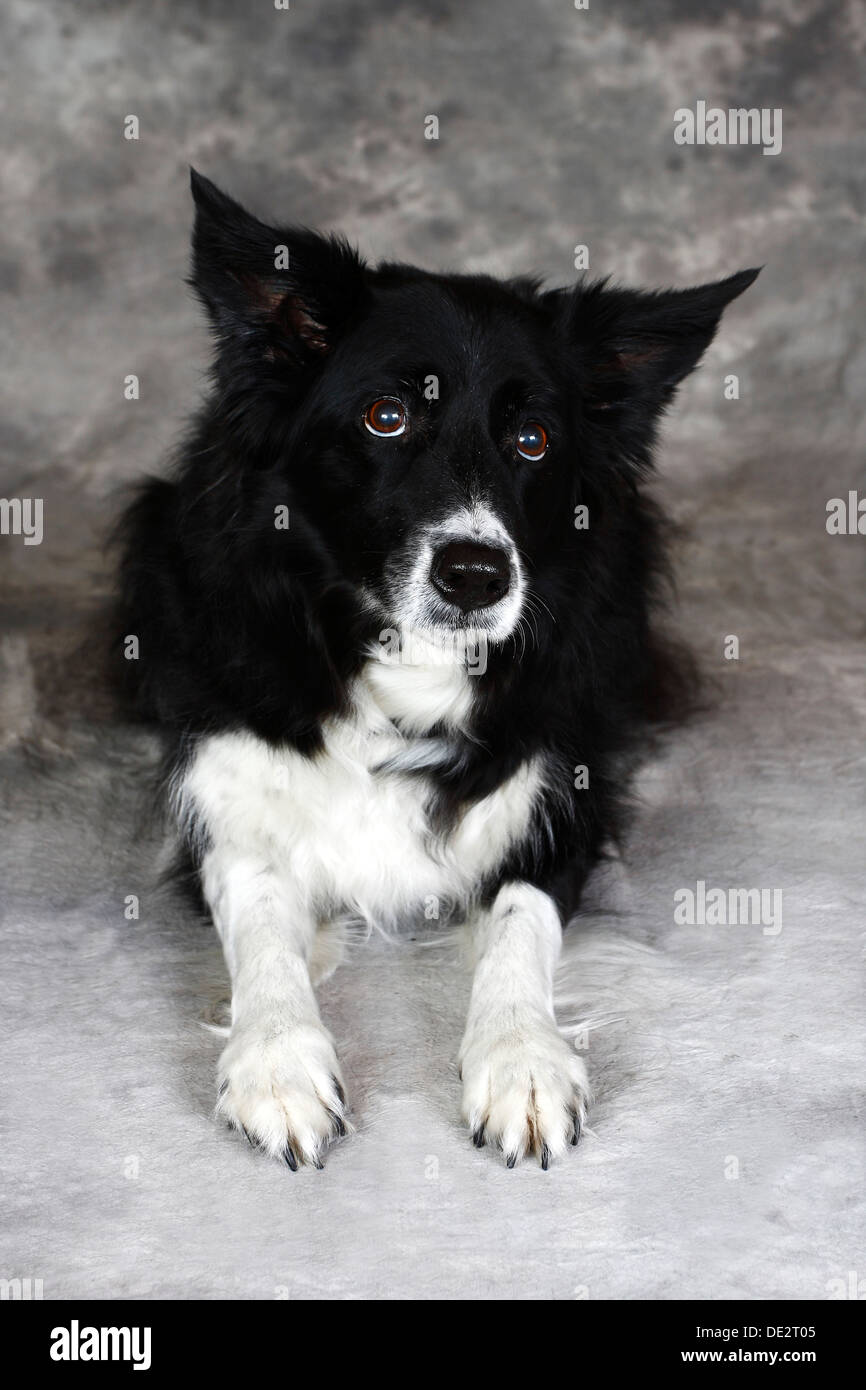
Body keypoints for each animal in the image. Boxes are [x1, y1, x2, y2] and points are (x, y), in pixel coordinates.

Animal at [120, 173, 756, 1173]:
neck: (403, 658)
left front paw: (523, 1061)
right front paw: (279, 1064)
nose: (476, 575)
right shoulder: (223, 807)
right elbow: (261, 924)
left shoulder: (559, 797)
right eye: (387, 417)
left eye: (534, 439)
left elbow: (519, 923)